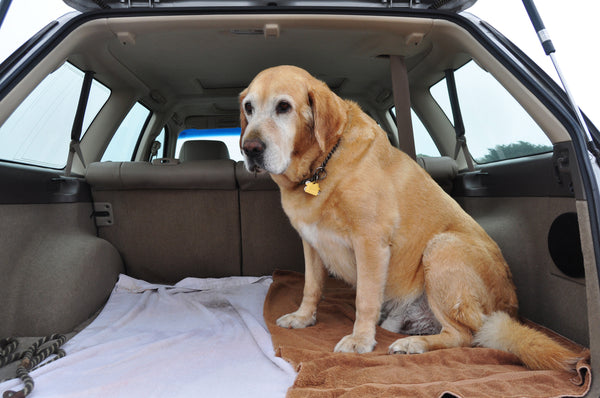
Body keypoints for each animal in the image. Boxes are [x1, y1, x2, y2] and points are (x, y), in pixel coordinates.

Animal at [238, 63, 580, 372]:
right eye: (248, 108)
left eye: (284, 107)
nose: (249, 148)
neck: (322, 165)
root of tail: (510, 310)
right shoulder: (311, 243)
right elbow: (311, 286)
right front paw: (303, 317)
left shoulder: (370, 243)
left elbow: (364, 299)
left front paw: (360, 340)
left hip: (442, 248)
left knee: (466, 336)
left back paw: (414, 344)